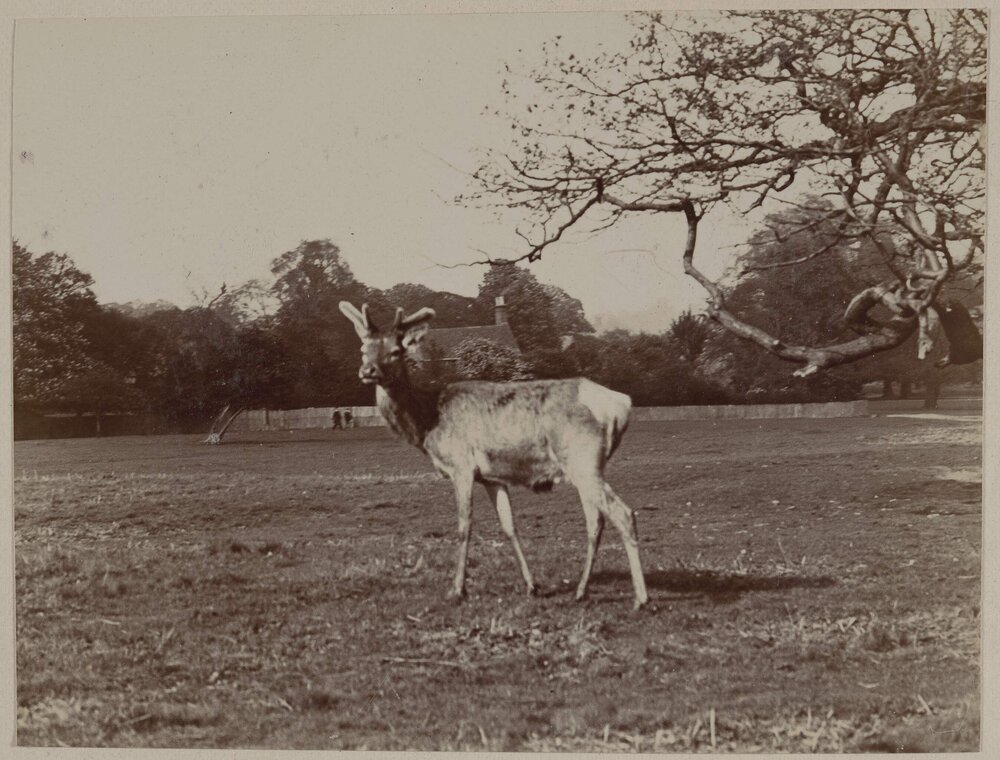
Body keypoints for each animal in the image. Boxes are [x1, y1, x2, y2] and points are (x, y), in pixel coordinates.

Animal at [339, 301, 649, 609]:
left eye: (396, 351)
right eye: (363, 348)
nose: (368, 370)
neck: (428, 424)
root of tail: (622, 403)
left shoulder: (461, 466)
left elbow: (464, 525)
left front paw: (457, 590)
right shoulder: (492, 477)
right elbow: (509, 525)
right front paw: (532, 586)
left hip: (582, 458)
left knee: (622, 513)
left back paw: (641, 598)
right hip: (584, 466)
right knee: (595, 521)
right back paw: (581, 590)